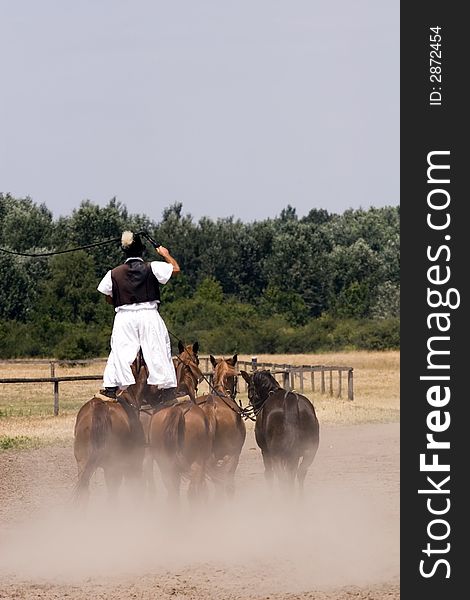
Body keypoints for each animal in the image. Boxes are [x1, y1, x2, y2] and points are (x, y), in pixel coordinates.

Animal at [148, 340, 214, 504]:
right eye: (197, 358)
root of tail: (178, 411)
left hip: (165, 466)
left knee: (173, 493)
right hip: (197, 463)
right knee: (192, 491)